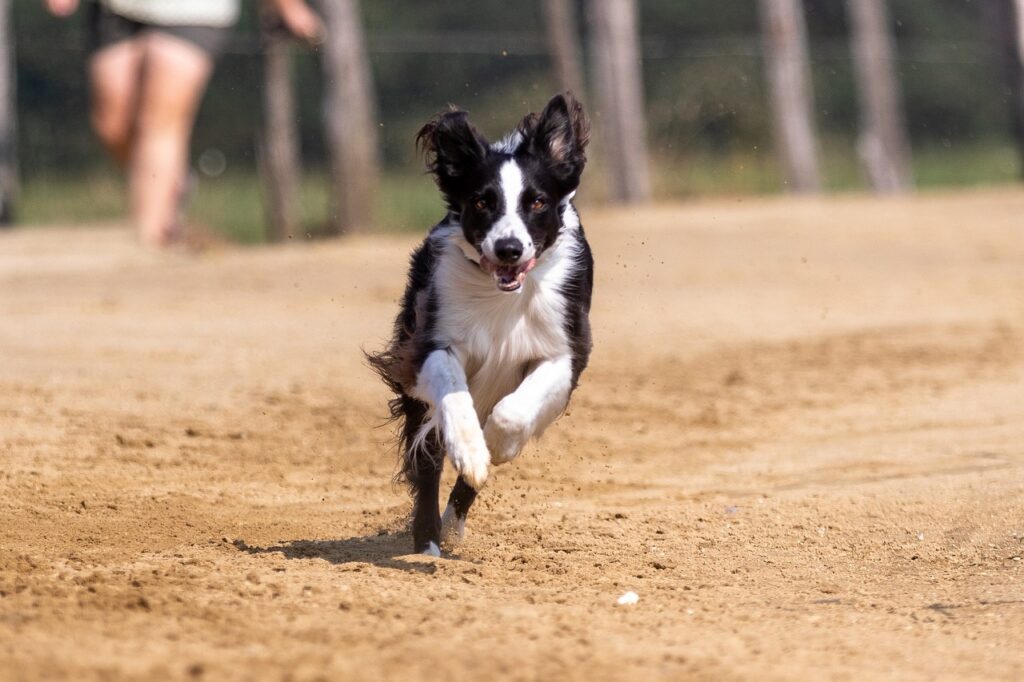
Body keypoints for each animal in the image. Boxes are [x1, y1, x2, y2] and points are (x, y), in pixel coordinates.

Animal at [368, 93, 593, 557]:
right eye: (481, 202)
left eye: (537, 201)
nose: (508, 249)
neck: (500, 297)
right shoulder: (426, 345)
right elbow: (453, 397)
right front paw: (472, 453)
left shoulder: (565, 351)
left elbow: (512, 413)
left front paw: (495, 446)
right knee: (426, 460)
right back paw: (429, 541)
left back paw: (453, 525)